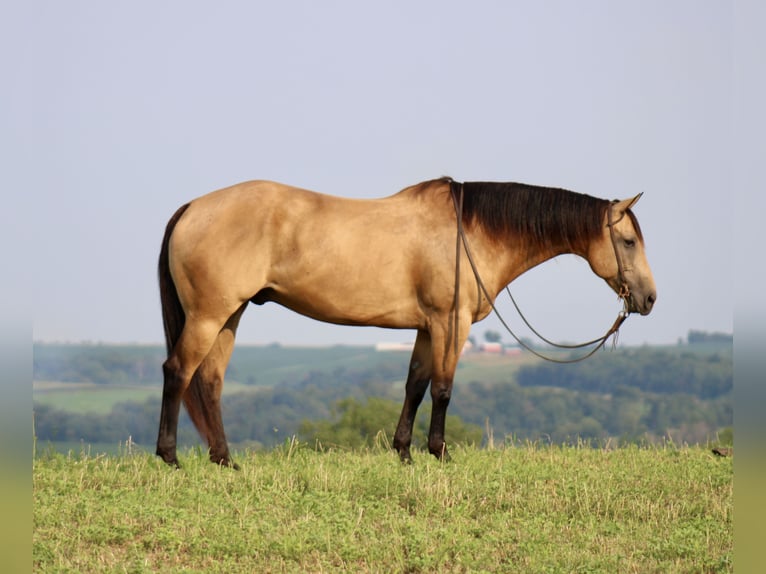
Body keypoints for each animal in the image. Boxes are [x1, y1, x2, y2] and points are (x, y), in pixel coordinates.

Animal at [156, 176, 656, 468]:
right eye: (629, 241)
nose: (650, 298)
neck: (470, 230)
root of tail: (191, 207)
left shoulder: (425, 328)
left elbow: (415, 385)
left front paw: (403, 452)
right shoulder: (451, 324)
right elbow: (443, 389)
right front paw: (439, 452)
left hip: (229, 315)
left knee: (210, 381)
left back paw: (224, 460)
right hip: (209, 315)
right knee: (178, 372)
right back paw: (170, 456)